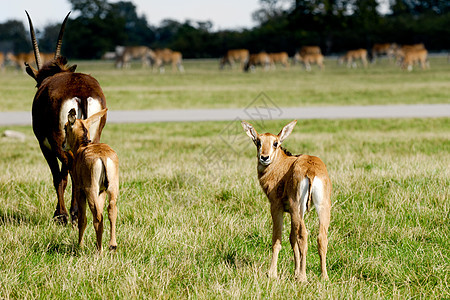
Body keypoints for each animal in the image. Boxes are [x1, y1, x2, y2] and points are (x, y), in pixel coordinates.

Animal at [25, 11, 107, 225]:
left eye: (37, 84)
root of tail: (82, 92)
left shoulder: (45, 144)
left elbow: (58, 176)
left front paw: (60, 214)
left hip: (57, 141)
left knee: (69, 169)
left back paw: (71, 214)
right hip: (93, 137)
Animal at [64, 108, 119, 253]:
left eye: (65, 127)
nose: (63, 144)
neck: (82, 146)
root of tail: (103, 157)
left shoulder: (79, 190)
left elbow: (82, 219)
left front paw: (80, 246)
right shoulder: (102, 191)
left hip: (91, 190)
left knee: (98, 217)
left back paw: (99, 249)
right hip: (112, 188)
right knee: (111, 210)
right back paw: (112, 245)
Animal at [241, 119, 332, 282]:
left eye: (275, 143)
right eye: (258, 141)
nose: (264, 157)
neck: (282, 164)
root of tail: (311, 170)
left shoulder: (276, 207)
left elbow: (277, 240)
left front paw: (272, 273)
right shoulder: (290, 212)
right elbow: (291, 239)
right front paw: (294, 272)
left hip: (298, 208)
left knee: (303, 236)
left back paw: (303, 277)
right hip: (322, 208)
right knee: (321, 237)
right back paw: (324, 276)